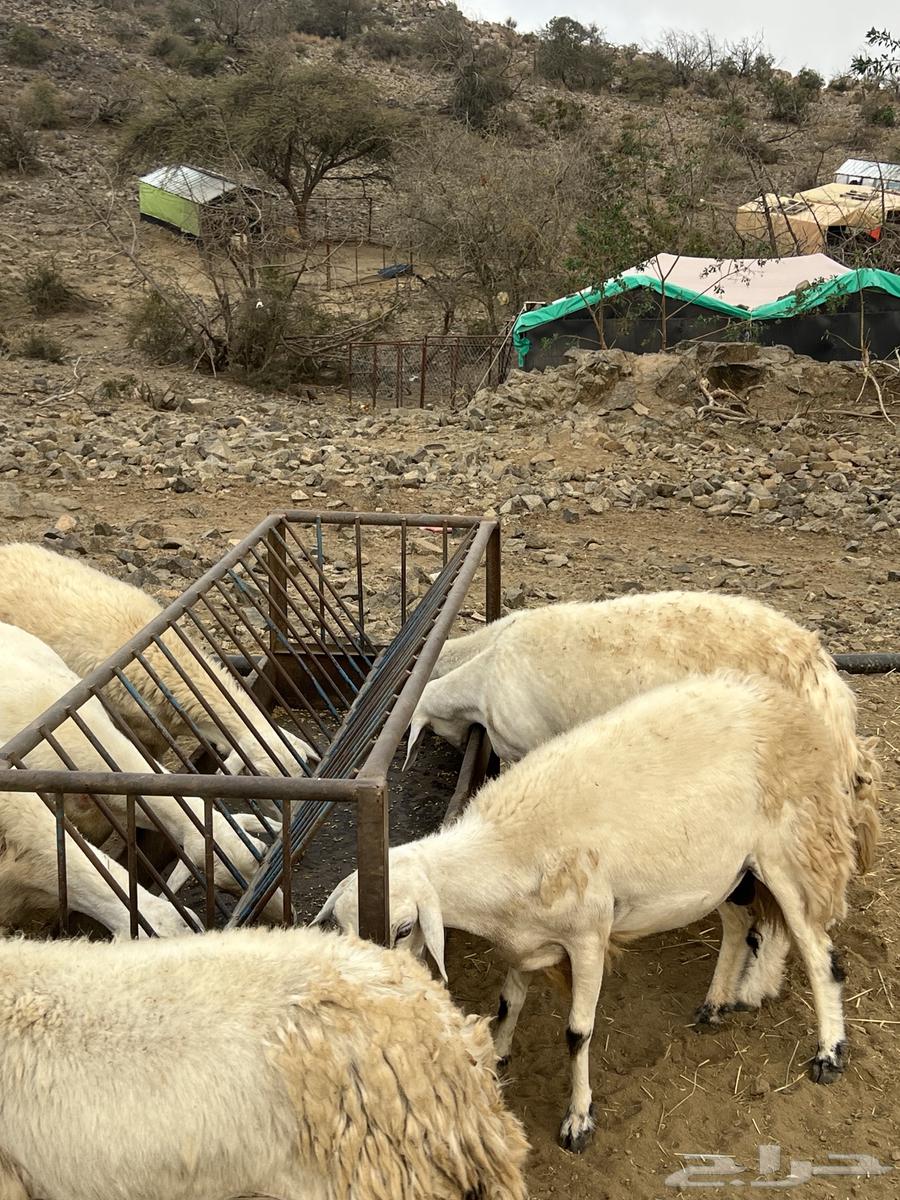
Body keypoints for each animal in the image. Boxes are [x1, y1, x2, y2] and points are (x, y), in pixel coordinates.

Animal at [317, 671, 857, 1152]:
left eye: (404, 927)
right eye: (342, 927)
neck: (498, 852)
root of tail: (783, 701)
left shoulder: (588, 936)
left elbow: (578, 1033)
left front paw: (578, 1119)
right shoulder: (525, 940)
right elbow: (508, 1002)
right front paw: (498, 1054)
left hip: (791, 851)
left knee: (819, 954)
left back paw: (828, 1052)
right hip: (721, 872)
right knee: (740, 923)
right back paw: (715, 1004)